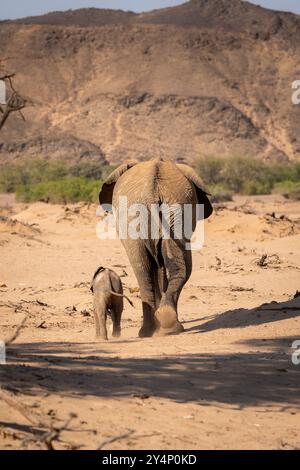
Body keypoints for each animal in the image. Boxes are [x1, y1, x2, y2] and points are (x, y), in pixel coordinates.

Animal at [99, 158, 212, 338]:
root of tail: (152, 191)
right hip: (175, 212)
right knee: (175, 267)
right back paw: (165, 325)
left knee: (143, 269)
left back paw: (151, 329)